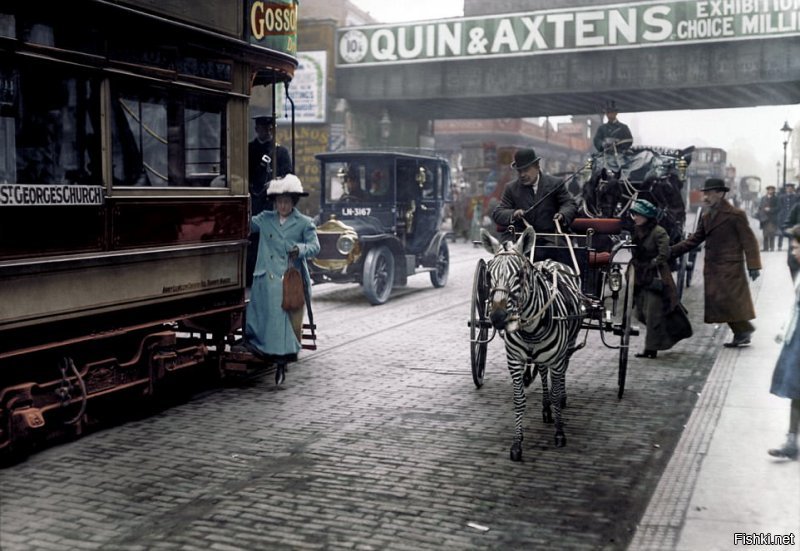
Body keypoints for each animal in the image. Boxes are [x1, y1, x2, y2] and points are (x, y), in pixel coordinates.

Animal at [478, 227, 584, 462]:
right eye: (488, 274)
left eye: (519, 274)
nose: (497, 317)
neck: (531, 331)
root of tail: (551, 261)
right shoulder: (515, 361)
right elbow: (519, 400)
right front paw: (517, 444)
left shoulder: (556, 359)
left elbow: (556, 392)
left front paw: (559, 433)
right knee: (543, 372)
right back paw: (545, 409)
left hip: (566, 347)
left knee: (563, 370)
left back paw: (560, 400)